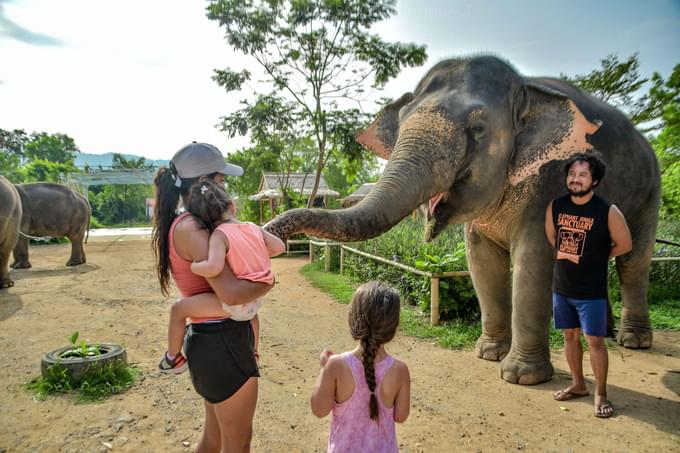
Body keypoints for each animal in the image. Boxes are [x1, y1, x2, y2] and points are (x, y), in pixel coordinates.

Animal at [264, 54, 660, 384]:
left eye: (478, 130)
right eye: (402, 124)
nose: (268, 236)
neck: (524, 86)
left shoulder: (550, 182)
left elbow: (532, 263)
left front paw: (520, 376)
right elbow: (480, 260)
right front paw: (488, 354)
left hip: (649, 191)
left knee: (634, 260)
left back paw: (633, 340)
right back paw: (605, 333)